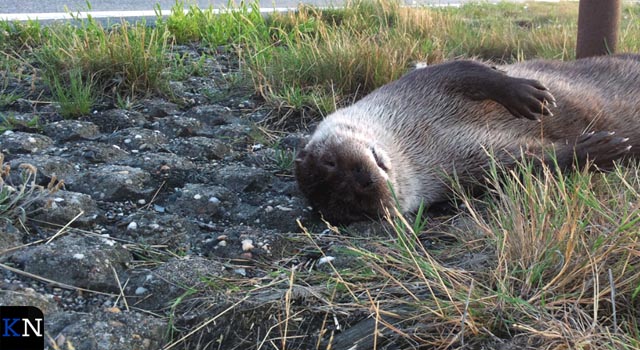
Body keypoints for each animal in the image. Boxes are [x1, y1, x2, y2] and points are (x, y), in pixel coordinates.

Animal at [298, 54, 636, 224]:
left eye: (330, 162)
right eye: (352, 205)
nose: (364, 181)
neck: (421, 135)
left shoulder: (421, 82)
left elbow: (469, 70)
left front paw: (523, 93)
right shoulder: (469, 165)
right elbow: (531, 165)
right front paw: (601, 150)